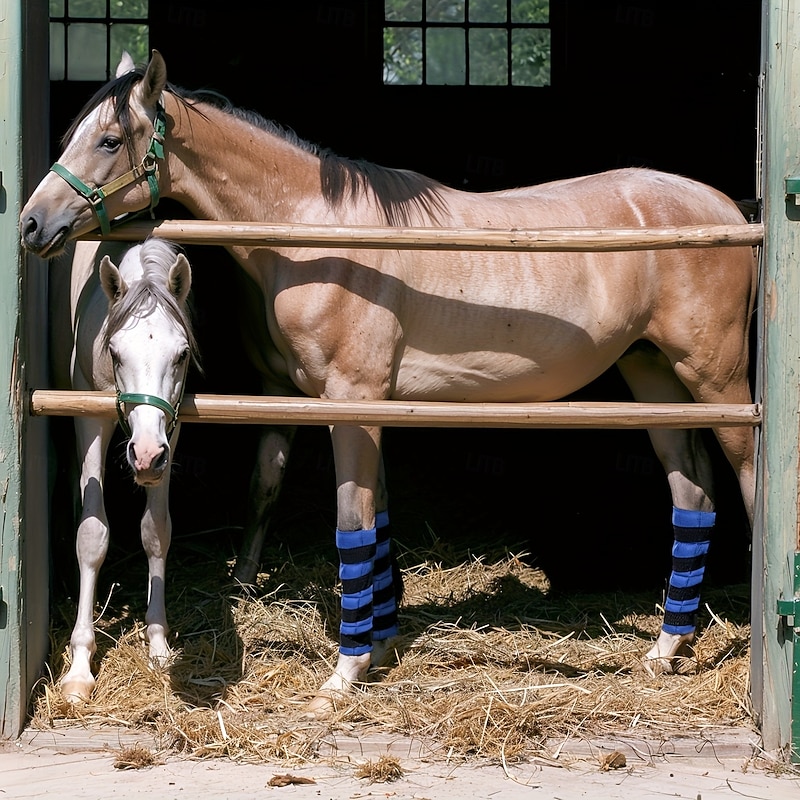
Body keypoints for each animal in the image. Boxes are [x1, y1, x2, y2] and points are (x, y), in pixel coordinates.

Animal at [46, 235, 197, 702]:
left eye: (181, 354)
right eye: (114, 352)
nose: (146, 455)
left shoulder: (173, 428)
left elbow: (156, 530)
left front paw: (159, 643)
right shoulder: (89, 418)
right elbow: (92, 534)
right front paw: (79, 666)